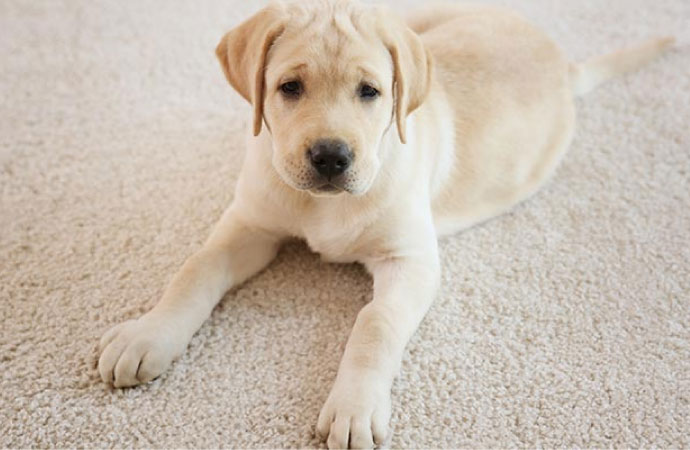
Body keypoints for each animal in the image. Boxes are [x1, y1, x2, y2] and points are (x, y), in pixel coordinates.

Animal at [98, 1, 672, 448]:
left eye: (370, 92)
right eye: (290, 87)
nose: (331, 157)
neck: (322, 206)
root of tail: (561, 60)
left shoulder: (411, 262)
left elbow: (375, 322)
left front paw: (354, 407)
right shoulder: (249, 224)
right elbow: (194, 269)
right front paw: (147, 336)